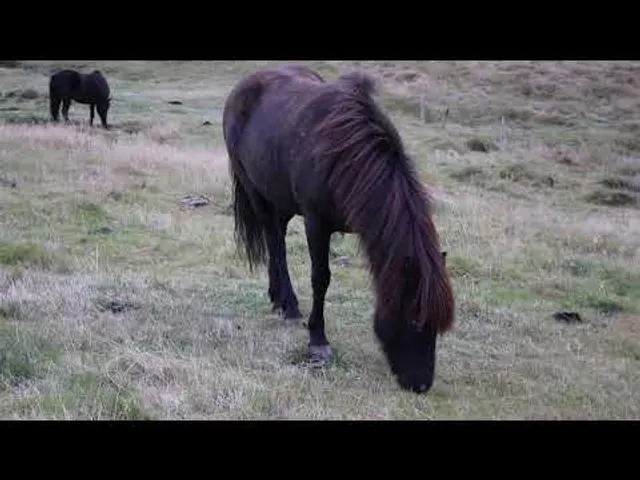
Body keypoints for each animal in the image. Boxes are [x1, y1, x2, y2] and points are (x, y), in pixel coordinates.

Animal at [222, 64, 455, 394]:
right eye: (413, 320)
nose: (421, 385)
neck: (347, 154)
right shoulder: (316, 223)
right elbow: (321, 278)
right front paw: (318, 338)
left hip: (281, 199)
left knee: (276, 240)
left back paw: (277, 298)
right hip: (258, 194)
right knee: (275, 244)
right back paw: (289, 305)